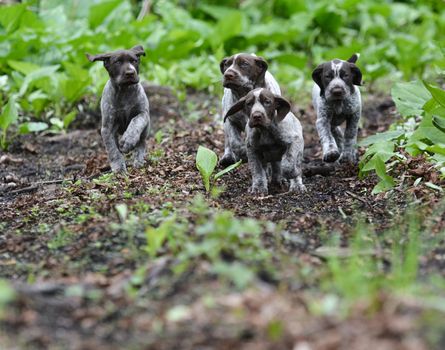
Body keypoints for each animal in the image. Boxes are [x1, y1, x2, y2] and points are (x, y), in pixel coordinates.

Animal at [86, 45, 150, 174]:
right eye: (118, 62)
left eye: (134, 61)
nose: (130, 73)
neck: (125, 91)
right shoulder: (107, 128)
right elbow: (113, 149)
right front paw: (119, 167)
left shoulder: (143, 114)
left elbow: (136, 121)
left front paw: (128, 141)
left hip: (146, 128)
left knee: (141, 142)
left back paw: (138, 159)